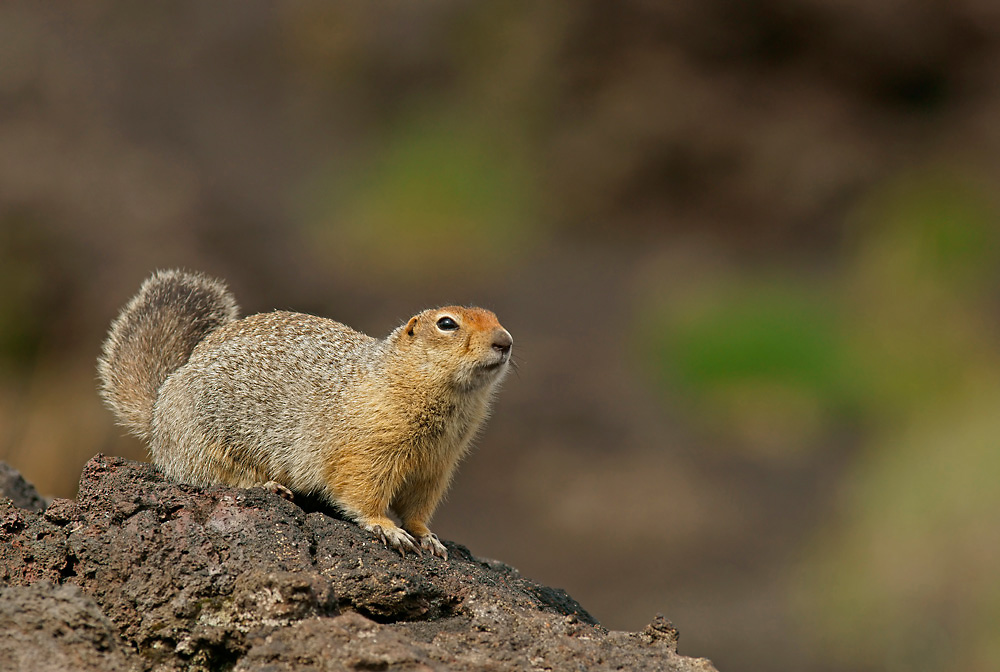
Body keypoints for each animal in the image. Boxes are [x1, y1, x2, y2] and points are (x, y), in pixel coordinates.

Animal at [97, 268, 512, 556]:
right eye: (447, 323)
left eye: (495, 317)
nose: (505, 341)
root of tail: (157, 415)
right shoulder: (367, 449)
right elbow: (361, 492)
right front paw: (387, 528)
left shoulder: (437, 466)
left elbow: (417, 508)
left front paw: (426, 536)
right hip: (205, 438)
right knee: (210, 476)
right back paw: (266, 484)